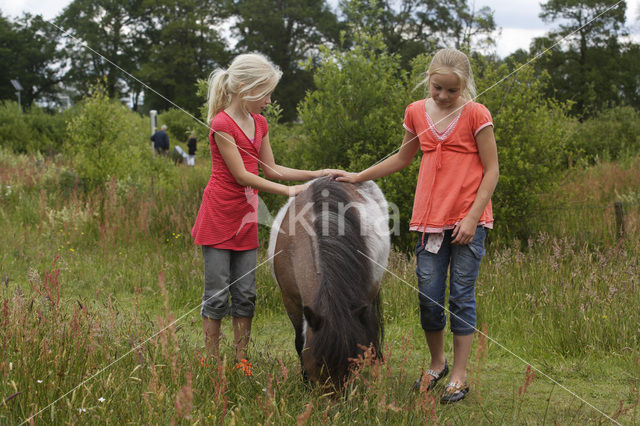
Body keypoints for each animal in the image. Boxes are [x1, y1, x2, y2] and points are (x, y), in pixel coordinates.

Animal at [266, 177, 390, 390]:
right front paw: (305, 383)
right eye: (318, 362)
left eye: (352, 363)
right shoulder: (290, 300)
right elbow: (299, 341)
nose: (334, 397)